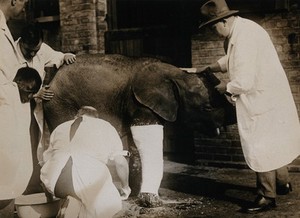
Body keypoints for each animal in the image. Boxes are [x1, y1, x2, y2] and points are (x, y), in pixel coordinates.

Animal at [41, 54, 234, 208]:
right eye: (207, 108)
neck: (174, 75)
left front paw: (136, 194)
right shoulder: (140, 104)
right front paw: (152, 201)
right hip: (57, 104)